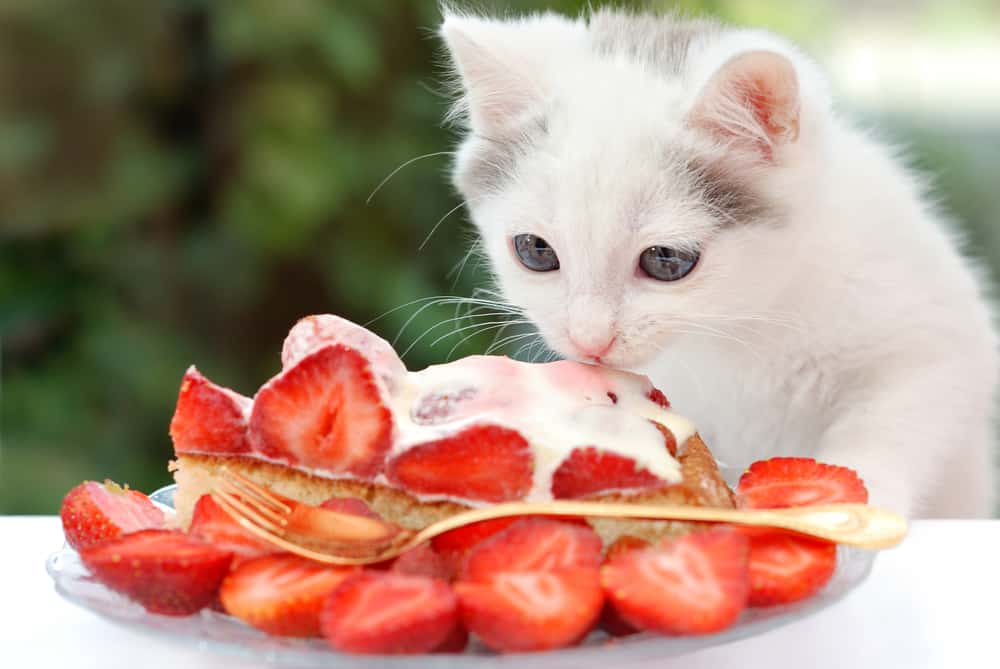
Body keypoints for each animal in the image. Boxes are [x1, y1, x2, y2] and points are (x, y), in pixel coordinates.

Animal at [440, 7, 1000, 516]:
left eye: (666, 260)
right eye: (536, 251)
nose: (589, 341)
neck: (743, 318)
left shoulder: (933, 336)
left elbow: (899, 415)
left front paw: (854, 500)